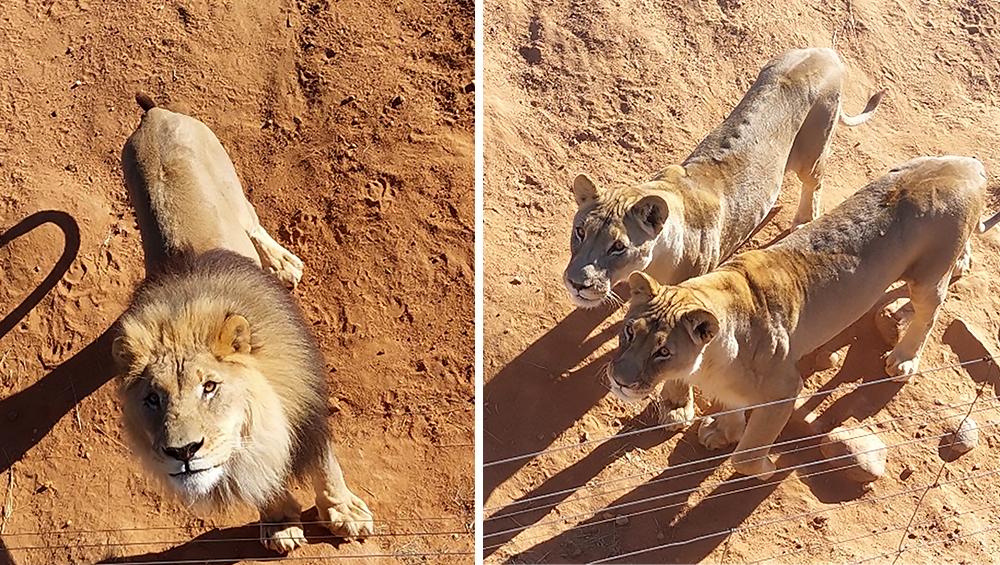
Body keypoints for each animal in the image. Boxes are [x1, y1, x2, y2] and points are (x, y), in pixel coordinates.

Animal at [110, 93, 376, 552]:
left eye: (210, 387)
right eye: (152, 399)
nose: (183, 452)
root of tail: (156, 115)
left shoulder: (306, 405)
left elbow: (326, 466)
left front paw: (344, 513)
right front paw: (280, 523)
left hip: (232, 186)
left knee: (252, 221)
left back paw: (283, 264)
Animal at [564, 48, 884, 430]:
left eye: (618, 246)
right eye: (580, 231)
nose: (576, 284)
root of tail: (824, 50)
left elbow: (681, 366)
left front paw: (676, 408)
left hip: (812, 151)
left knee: (815, 182)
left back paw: (804, 220)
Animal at [608, 155, 992, 480]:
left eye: (664, 352)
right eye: (628, 332)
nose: (620, 381)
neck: (707, 361)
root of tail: (967, 164)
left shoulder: (785, 389)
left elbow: (747, 455)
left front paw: (766, 467)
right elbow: (734, 405)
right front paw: (722, 432)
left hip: (929, 277)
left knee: (929, 313)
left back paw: (903, 358)